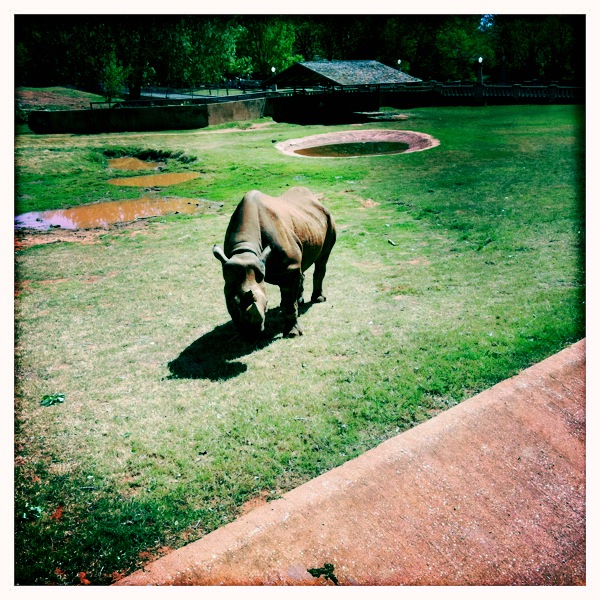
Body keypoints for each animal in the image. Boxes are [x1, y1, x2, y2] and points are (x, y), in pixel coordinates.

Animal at [213, 187, 336, 338]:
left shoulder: (289, 269)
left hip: (328, 219)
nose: (250, 333)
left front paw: (293, 333)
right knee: (302, 267)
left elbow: (289, 303)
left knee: (322, 260)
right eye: (230, 307)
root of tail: (315, 200)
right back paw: (300, 301)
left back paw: (318, 299)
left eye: (266, 303)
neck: (244, 251)